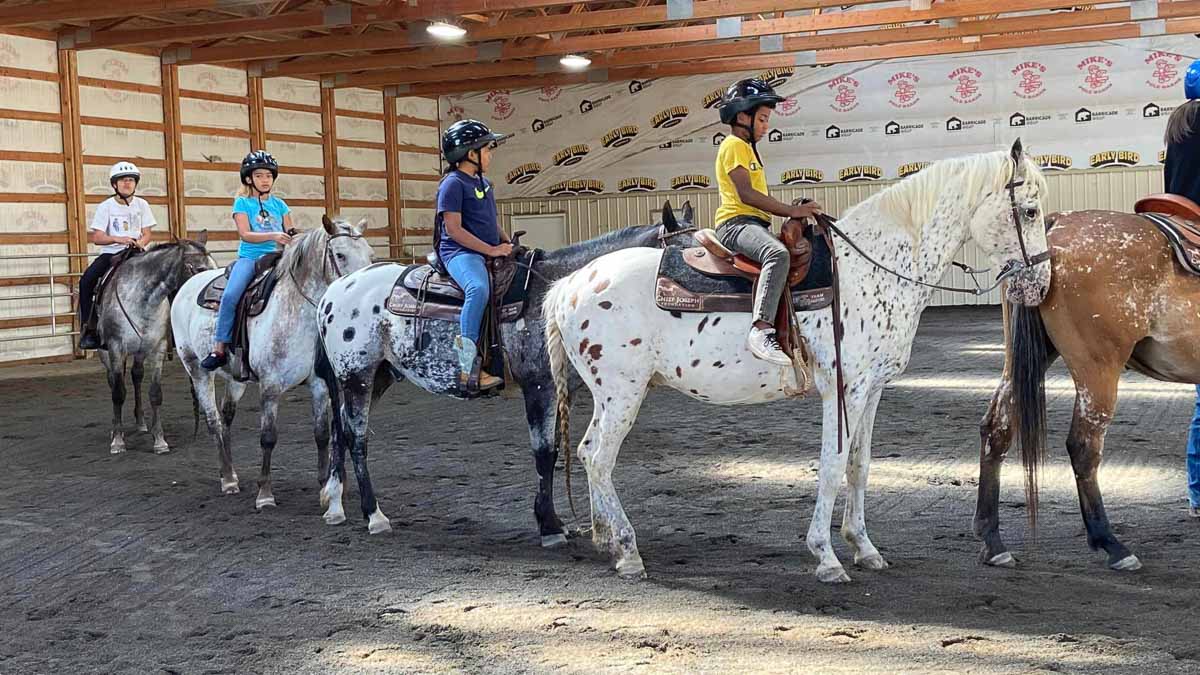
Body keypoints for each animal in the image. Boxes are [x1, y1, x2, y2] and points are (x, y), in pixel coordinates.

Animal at [91, 230, 216, 451]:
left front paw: (159, 440)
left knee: (136, 376)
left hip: (140, 351)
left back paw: (141, 422)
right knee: (113, 381)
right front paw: (118, 440)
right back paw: (115, 428)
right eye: (200, 269)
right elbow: (118, 392)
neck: (141, 298)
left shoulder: (158, 347)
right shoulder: (116, 347)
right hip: (105, 352)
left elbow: (155, 393)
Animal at [171, 214, 372, 504]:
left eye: (369, 253)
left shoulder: (319, 384)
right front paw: (265, 493)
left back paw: (230, 473)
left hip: (237, 378)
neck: (294, 311)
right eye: (340, 254)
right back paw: (227, 479)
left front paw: (324, 484)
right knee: (213, 421)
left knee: (226, 418)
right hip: (197, 370)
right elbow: (268, 437)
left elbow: (321, 434)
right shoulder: (270, 385)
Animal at [314, 199, 700, 535]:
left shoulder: (563, 390)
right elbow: (543, 453)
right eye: (690, 256)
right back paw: (373, 515)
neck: (555, 293)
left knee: (340, 429)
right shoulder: (539, 387)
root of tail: (335, 290)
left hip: (377, 375)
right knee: (356, 436)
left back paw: (334, 505)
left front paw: (551, 520)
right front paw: (550, 525)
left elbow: (553, 451)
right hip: (356, 376)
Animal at [544, 139, 1051, 581]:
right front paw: (826, 557)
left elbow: (860, 465)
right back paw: (629, 552)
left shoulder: (872, 391)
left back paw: (607, 540)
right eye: (1030, 210)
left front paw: (864, 547)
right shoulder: (844, 391)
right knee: (598, 457)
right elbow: (831, 465)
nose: (1041, 284)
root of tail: (569, 285)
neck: (872, 268)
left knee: (589, 452)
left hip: (613, 395)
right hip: (621, 393)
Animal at [974, 205, 1200, 566]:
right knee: (1083, 447)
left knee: (997, 429)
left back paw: (993, 542)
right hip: (1096, 371)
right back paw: (1111, 543)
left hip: (1027, 359)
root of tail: (1055, 226)